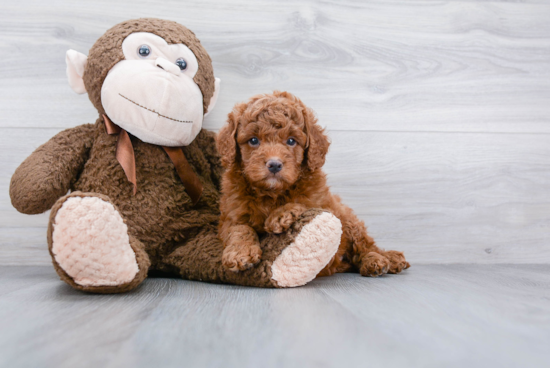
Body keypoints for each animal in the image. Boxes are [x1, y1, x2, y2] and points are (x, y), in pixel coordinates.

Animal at [218, 91, 412, 276]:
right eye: (253, 140)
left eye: (291, 141)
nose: (274, 164)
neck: (271, 194)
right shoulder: (232, 214)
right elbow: (240, 229)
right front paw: (240, 253)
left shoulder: (323, 203)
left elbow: (304, 203)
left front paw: (281, 215)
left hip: (349, 221)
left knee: (366, 246)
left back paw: (379, 260)